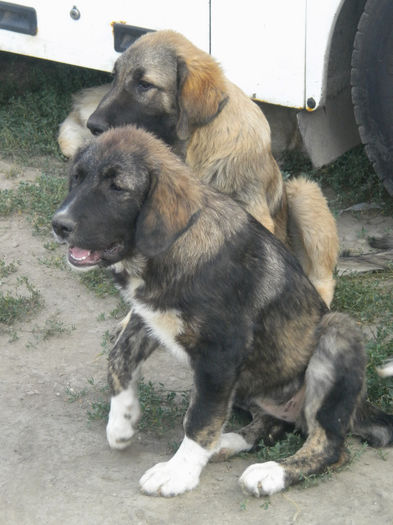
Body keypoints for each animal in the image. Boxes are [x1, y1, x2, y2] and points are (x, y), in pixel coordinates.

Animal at [52, 126, 392, 496]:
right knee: (271, 424)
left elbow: (199, 417)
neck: (166, 251)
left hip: (336, 331)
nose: (59, 225)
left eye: (117, 188)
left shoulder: (220, 353)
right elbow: (118, 356)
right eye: (76, 178)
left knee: (330, 445)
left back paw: (272, 472)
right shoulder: (148, 317)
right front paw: (122, 420)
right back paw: (227, 443)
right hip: (249, 383)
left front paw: (178, 472)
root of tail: (362, 407)